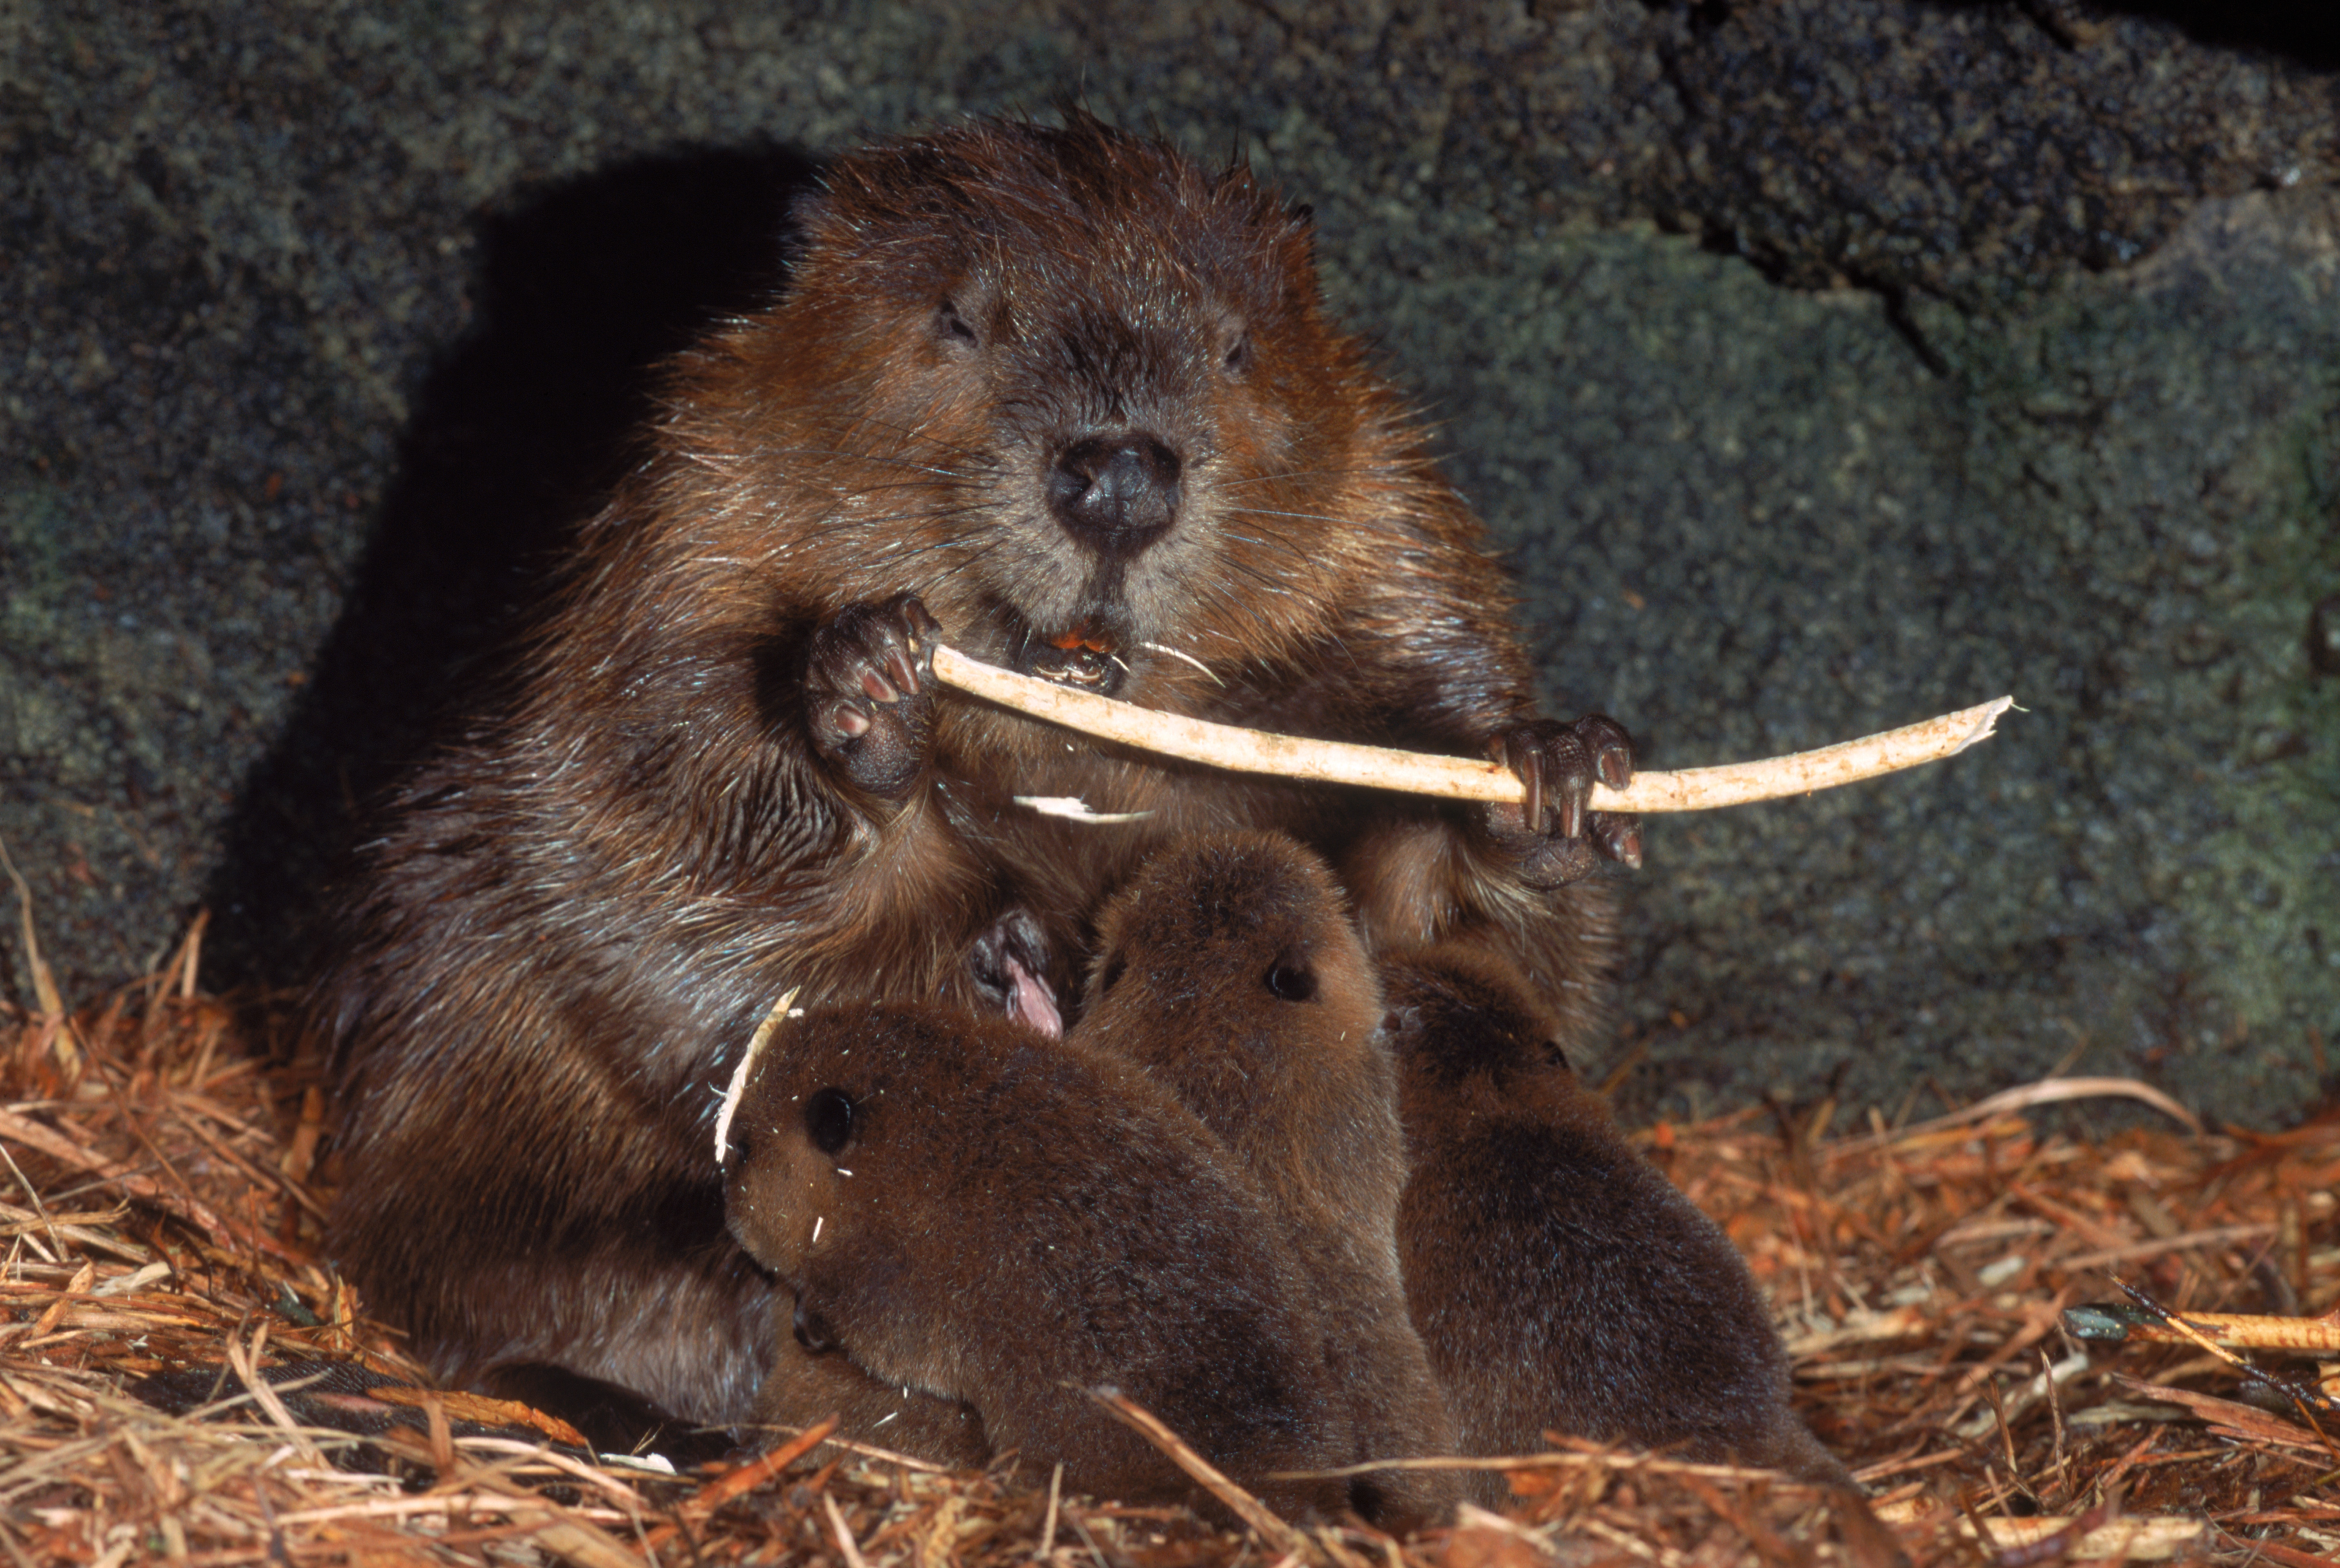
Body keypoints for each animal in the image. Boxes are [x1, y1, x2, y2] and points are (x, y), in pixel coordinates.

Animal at [321, 110, 1638, 1442]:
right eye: (959, 319)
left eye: (1236, 345)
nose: (1119, 477)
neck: (1069, 726)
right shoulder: (674, 573)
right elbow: (659, 856)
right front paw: (874, 703)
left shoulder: (1399, 540)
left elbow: (1463, 964)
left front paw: (1544, 779)